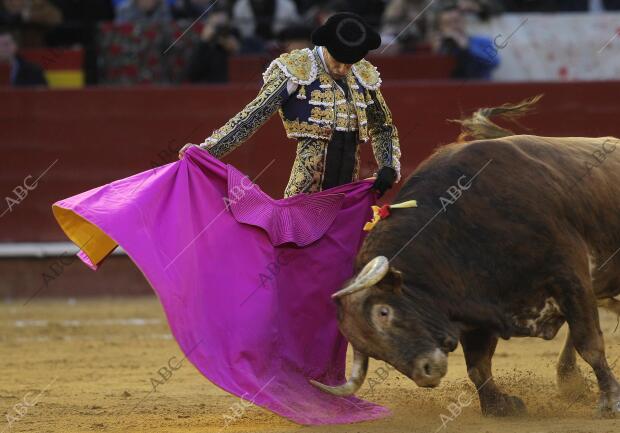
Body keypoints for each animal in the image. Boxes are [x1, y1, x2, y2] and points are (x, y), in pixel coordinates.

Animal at [312, 97, 620, 416]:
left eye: (384, 312)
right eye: (372, 350)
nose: (425, 372)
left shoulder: (569, 276)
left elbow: (589, 343)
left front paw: (610, 401)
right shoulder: (476, 303)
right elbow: (478, 365)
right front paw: (499, 406)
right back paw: (570, 381)